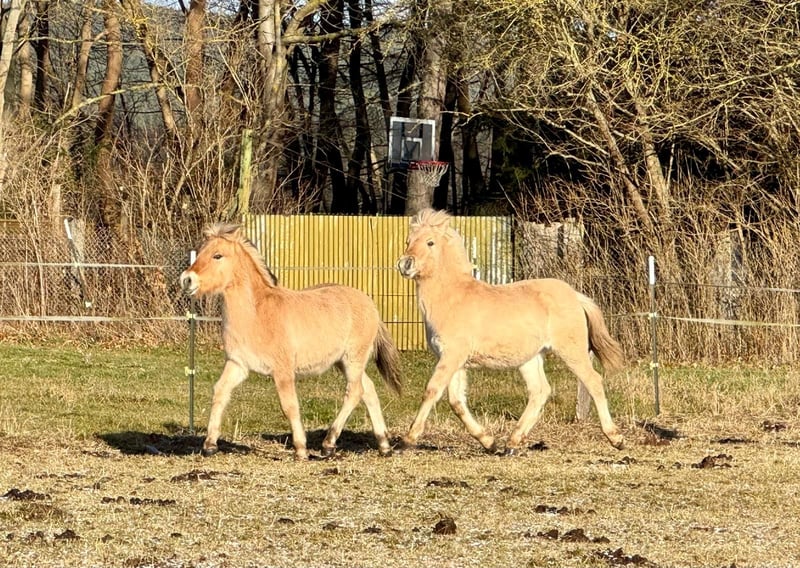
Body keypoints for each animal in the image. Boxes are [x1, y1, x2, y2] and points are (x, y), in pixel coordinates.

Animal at [180, 223, 402, 459]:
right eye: (200, 252)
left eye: (217, 255)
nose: (187, 279)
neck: (257, 314)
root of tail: (371, 304)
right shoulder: (238, 364)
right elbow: (220, 391)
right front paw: (210, 445)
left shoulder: (283, 371)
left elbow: (289, 406)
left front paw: (301, 449)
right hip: (343, 362)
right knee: (368, 390)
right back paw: (384, 445)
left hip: (353, 359)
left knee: (355, 392)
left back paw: (328, 443)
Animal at [396, 209, 624, 454]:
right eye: (408, 241)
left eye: (430, 242)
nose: (405, 264)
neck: (453, 297)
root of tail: (575, 295)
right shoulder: (454, 360)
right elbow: (456, 402)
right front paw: (489, 442)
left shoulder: (452, 356)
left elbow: (432, 390)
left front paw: (406, 441)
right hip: (531, 358)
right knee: (540, 391)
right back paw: (512, 443)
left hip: (571, 350)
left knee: (593, 381)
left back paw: (616, 438)